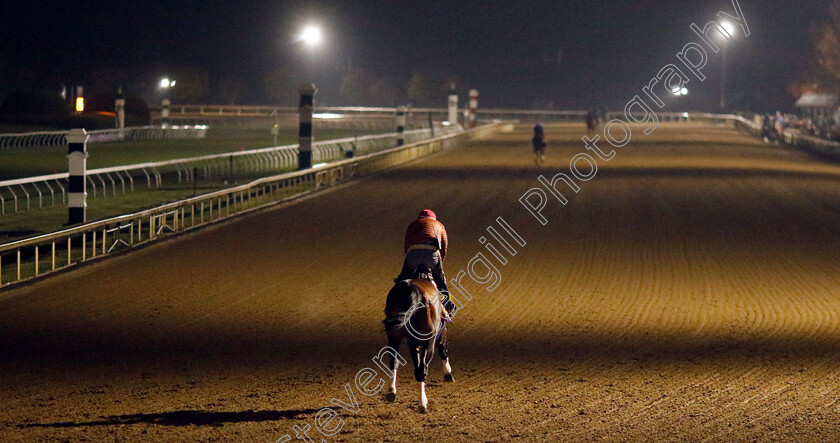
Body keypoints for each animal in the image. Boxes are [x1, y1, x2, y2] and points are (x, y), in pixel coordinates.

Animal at [384, 268, 456, 414]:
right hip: (428, 342)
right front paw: (448, 374)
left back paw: (391, 391)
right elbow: (443, 350)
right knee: (422, 370)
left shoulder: (411, 342)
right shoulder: (440, 333)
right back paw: (422, 403)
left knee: (394, 362)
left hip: (393, 337)